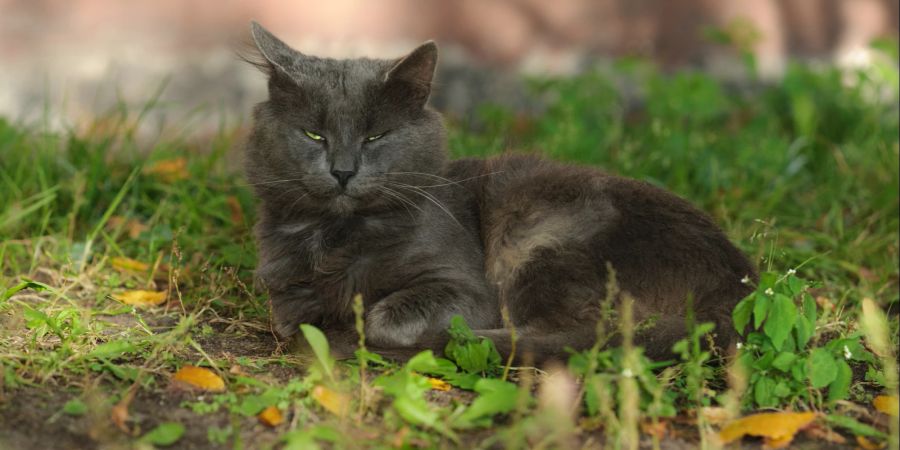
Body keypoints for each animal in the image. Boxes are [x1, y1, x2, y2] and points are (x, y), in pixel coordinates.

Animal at [243, 22, 756, 364]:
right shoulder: (282, 288)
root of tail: (737, 286)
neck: (338, 235)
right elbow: (288, 312)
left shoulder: (466, 287)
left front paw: (353, 322)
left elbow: (382, 317)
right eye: (314, 135)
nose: (344, 171)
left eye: (376, 136)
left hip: (541, 241)